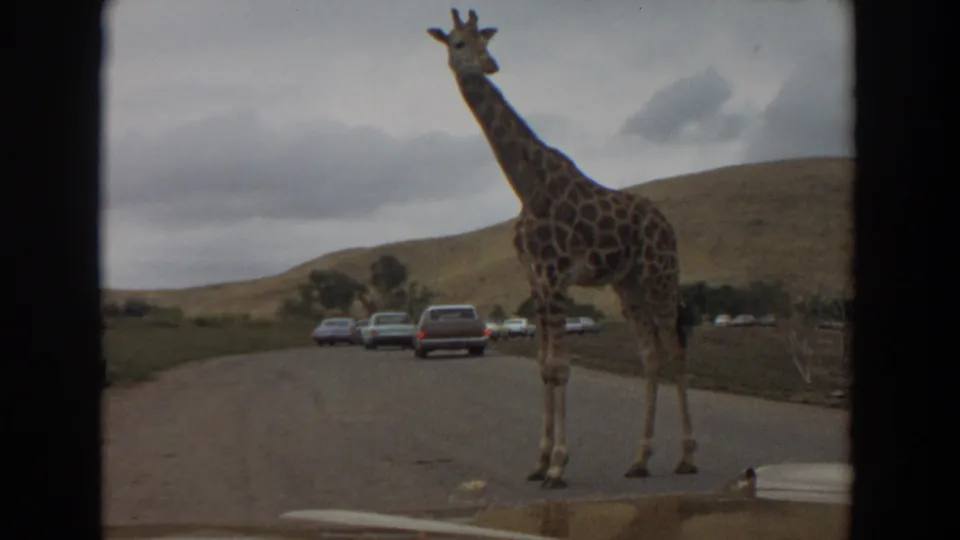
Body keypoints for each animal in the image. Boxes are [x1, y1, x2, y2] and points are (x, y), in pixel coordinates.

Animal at [427, 8, 698, 489]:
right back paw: (640, 459)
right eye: (457, 43)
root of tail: (668, 226)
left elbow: (560, 368)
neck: (527, 186)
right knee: (651, 355)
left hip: (661, 276)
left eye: (484, 41)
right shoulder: (536, 279)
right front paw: (538, 462)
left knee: (675, 349)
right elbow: (544, 367)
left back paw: (686, 456)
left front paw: (557, 464)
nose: (488, 64)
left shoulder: (556, 275)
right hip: (628, 285)